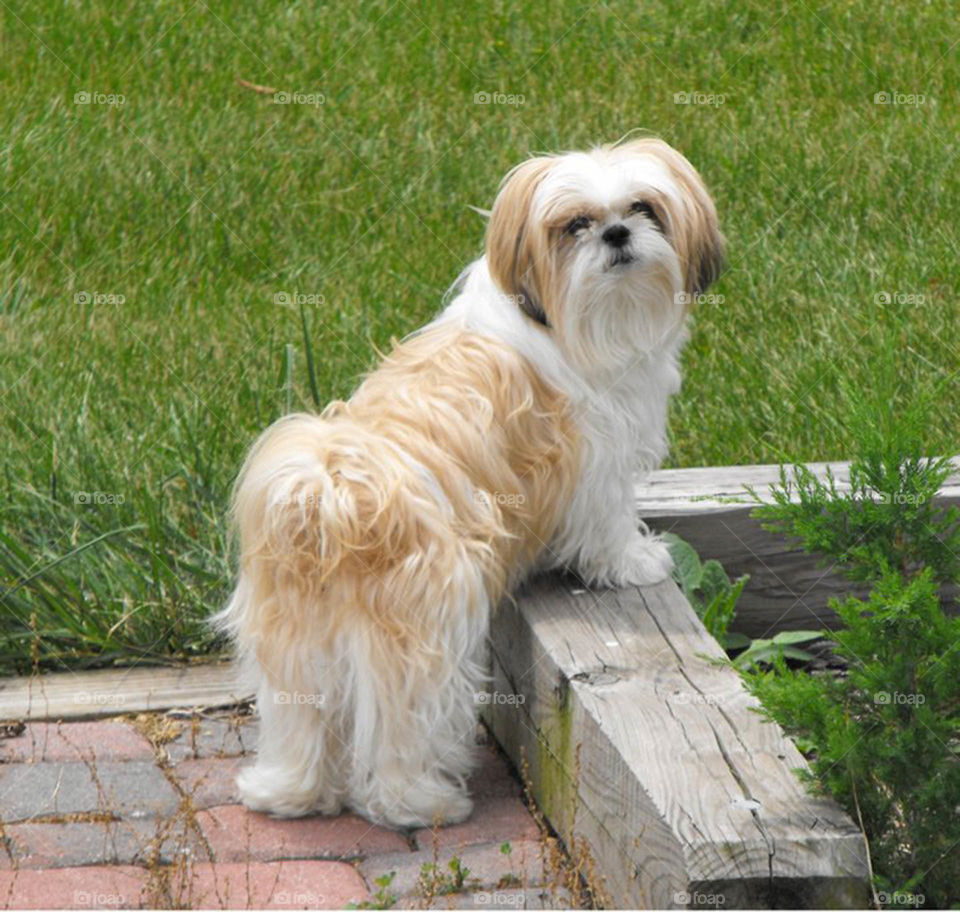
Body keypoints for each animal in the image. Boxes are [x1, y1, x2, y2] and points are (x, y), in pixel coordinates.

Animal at [214, 135, 724, 828]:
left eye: (644, 207)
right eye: (576, 224)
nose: (617, 233)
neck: (558, 315)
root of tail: (334, 497)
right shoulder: (596, 465)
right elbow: (608, 526)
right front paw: (637, 561)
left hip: (294, 637)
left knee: (301, 721)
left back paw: (286, 792)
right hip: (428, 631)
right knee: (403, 730)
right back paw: (420, 803)